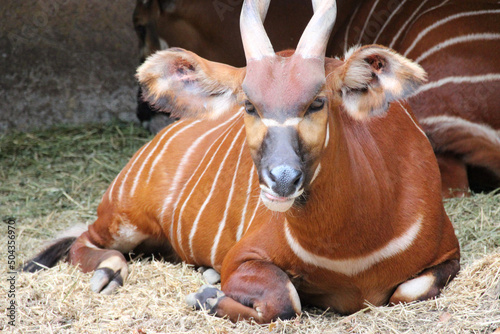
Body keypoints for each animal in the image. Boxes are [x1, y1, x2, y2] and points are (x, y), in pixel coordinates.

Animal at [24, 0, 460, 324]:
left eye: (317, 101)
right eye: (249, 104)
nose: (281, 181)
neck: (350, 252)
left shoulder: (448, 256)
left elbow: (409, 290)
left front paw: (209, 287)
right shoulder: (245, 256)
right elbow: (285, 300)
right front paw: (207, 296)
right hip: (124, 218)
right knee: (84, 240)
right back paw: (108, 272)